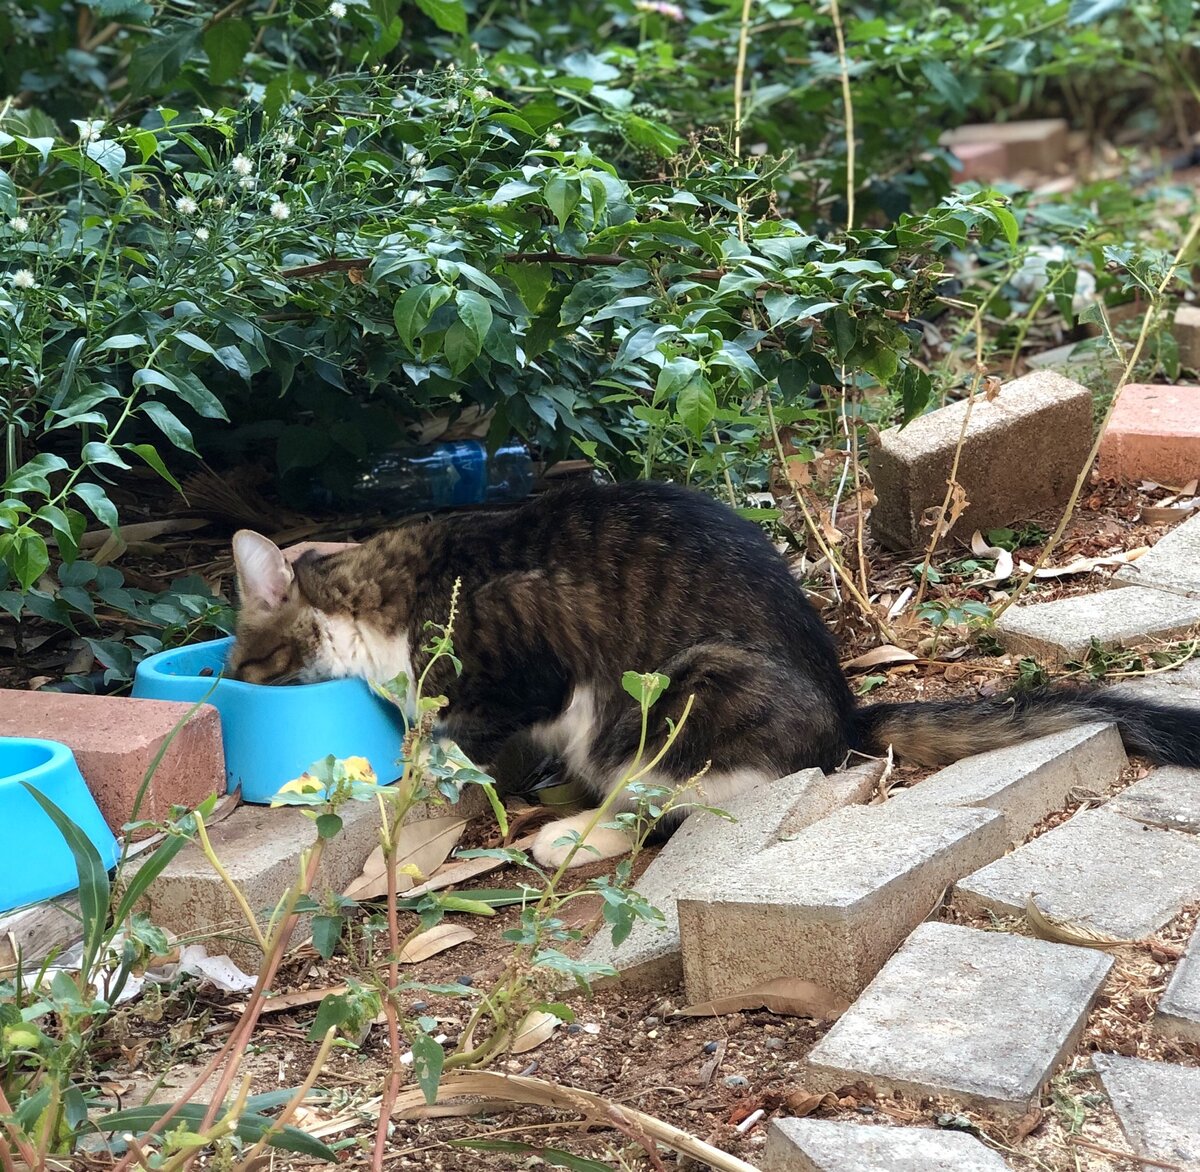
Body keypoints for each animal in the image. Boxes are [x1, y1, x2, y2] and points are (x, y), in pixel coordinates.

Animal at [226, 479, 1200, 863]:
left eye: (242, 662)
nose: (231, 681)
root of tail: (848, 713)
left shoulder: (526, 667)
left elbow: (458, 722)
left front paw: (429, 762)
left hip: (679, 691)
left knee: (672, 797)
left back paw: (570, 833)